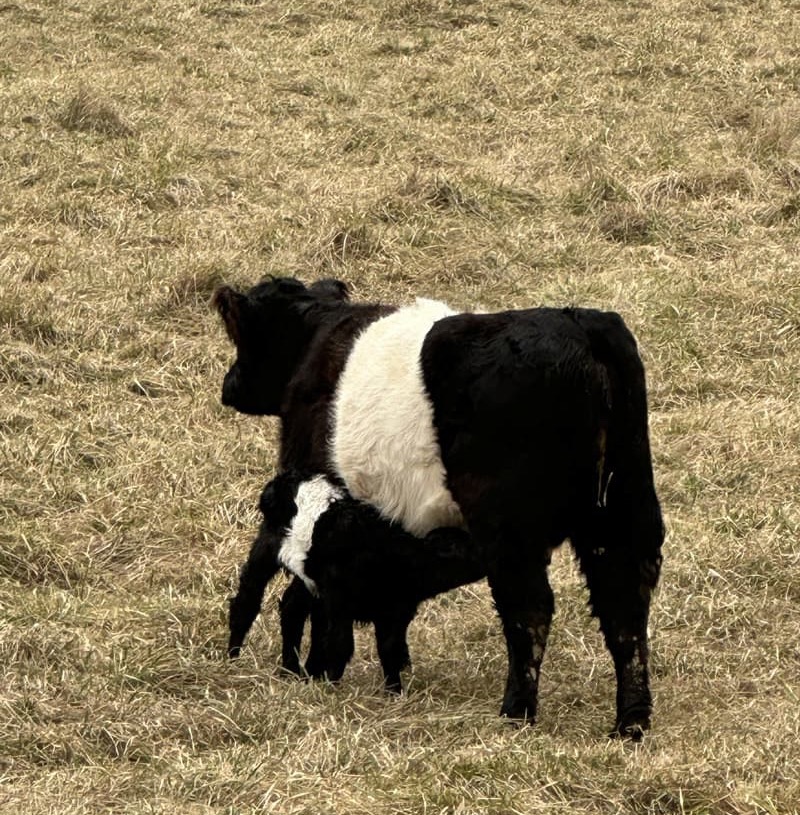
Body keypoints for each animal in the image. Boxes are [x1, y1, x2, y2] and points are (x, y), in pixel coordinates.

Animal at [213, 276, 664, 738]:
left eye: (242, 338)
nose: (229, 385)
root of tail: (580, 325)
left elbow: (312, 601)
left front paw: (315, 671)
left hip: (510, 532)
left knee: (531, 608)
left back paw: (516, 711)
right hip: (622, 506)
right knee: (624, 600)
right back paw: (630, 722)